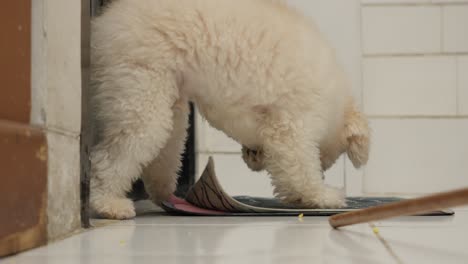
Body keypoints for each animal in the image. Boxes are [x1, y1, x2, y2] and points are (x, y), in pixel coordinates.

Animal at [90, 0, 370, 219]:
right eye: (323, 161)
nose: (252, 159)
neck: (336, 103)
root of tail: (109, 19)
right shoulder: (293, 126)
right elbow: (299, 168)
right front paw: (321, 196)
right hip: (142, 85)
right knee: (113, 156)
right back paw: (108, 203)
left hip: (166, 100)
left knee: (164, 151)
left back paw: (165, 195)